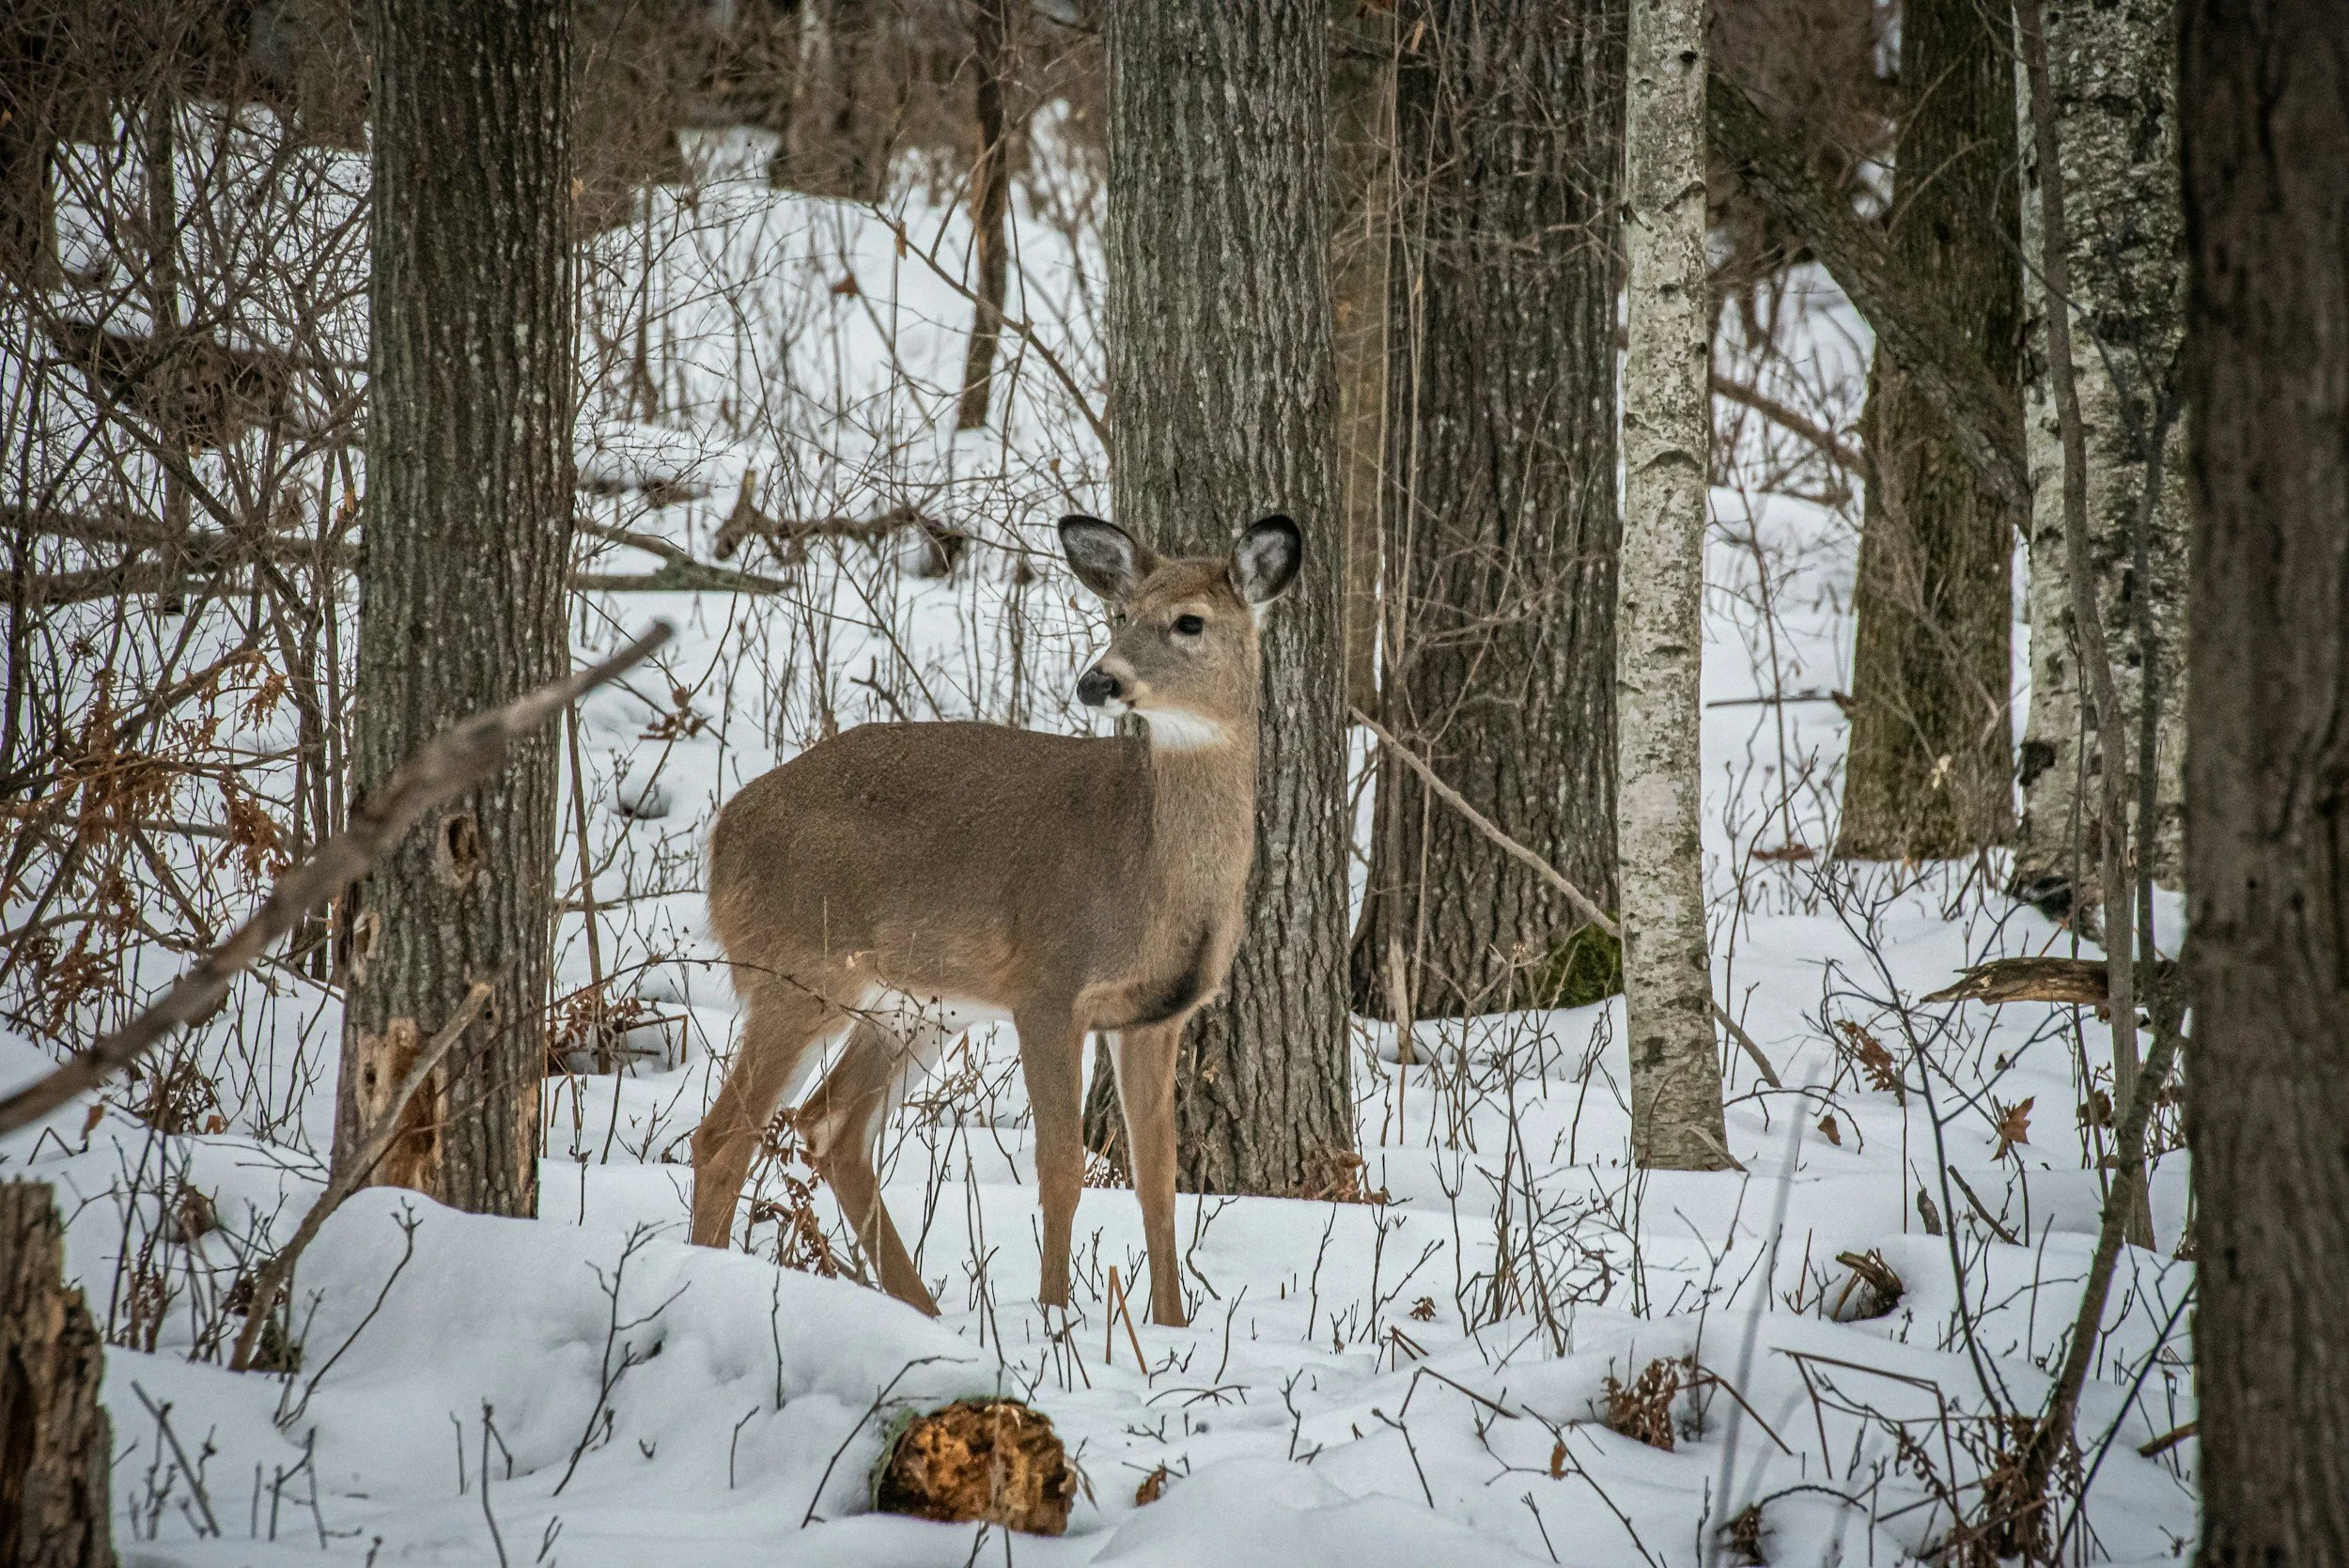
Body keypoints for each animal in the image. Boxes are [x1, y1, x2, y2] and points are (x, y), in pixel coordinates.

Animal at [690, 512, 1303, 1328]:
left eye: (1190, 621)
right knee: (724, 1135)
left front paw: (1171, 1327)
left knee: (830, 1127)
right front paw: (1055, 1319)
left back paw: (922, 1311)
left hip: (912, 1007)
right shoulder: (1048, 985)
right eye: (1120, 614)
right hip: (797, 969)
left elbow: (1158, 1178)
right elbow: (1063, 1166)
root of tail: (722, 834)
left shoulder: (1154, 1014)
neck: (1150, 871)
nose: (1097, 680)